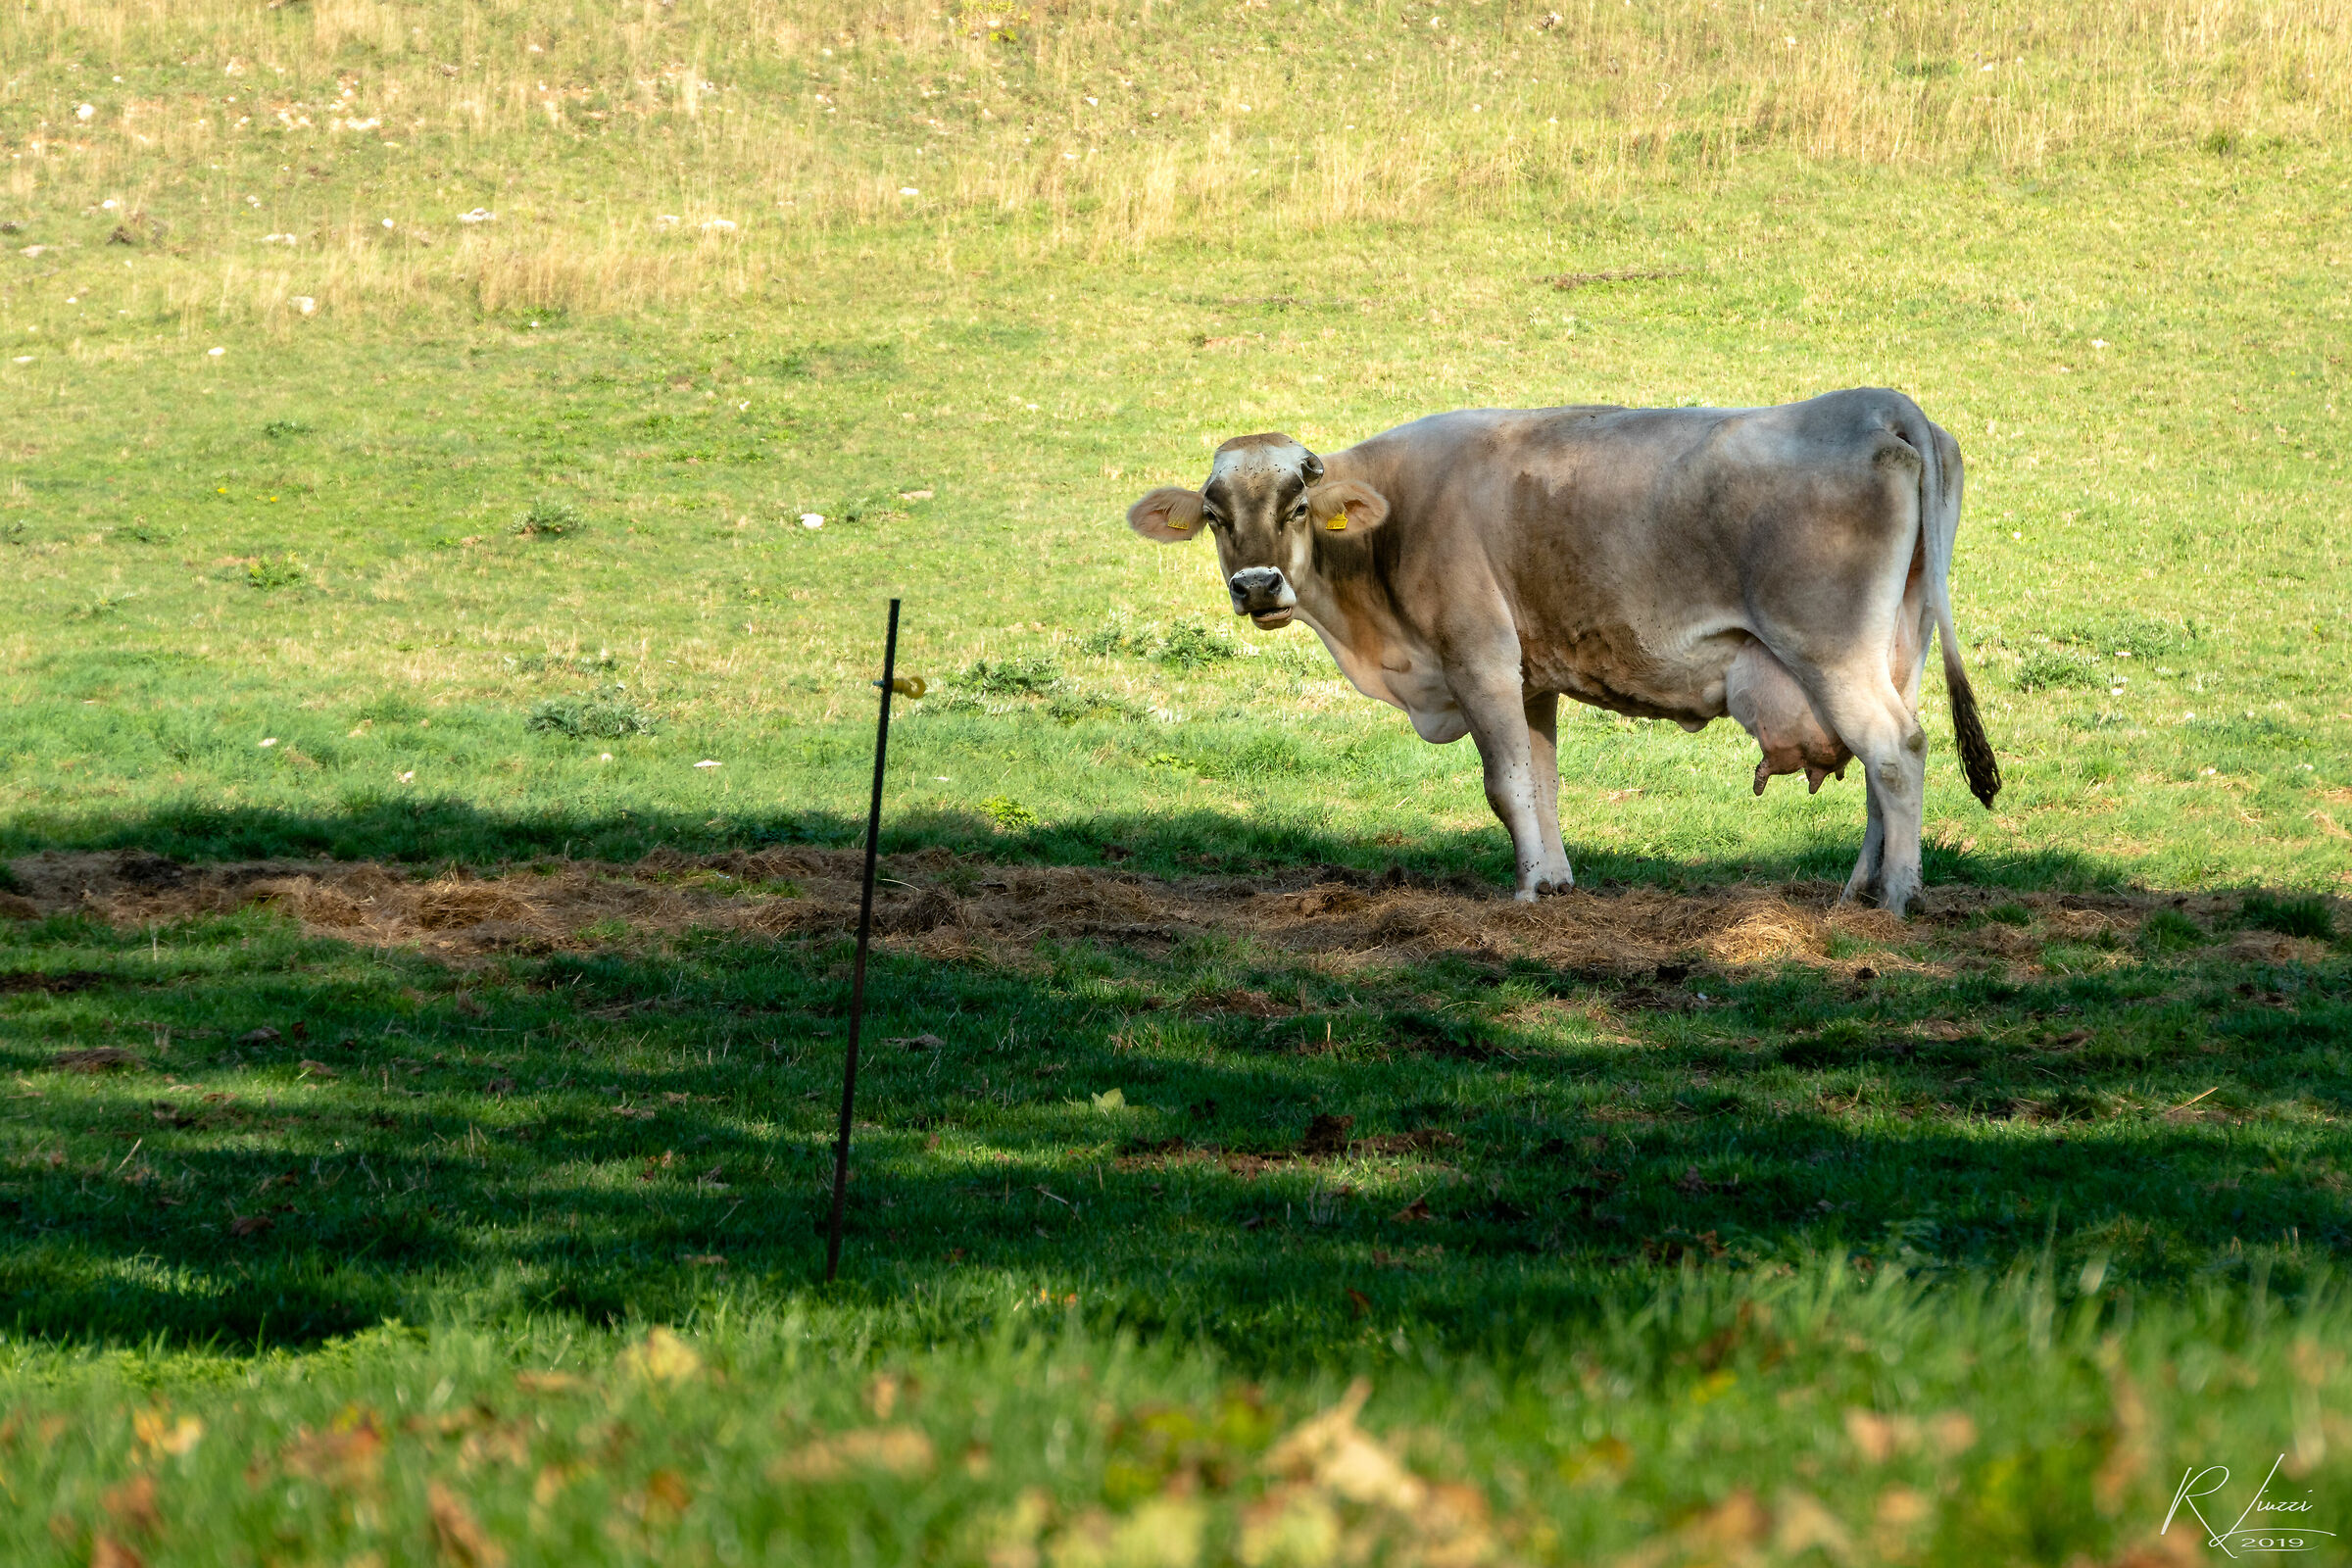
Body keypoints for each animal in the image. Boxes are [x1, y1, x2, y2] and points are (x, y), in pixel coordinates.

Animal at [1124, 388, 2000, 916]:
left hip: (1830, 649)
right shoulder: (1528, 675)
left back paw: (1898, 898)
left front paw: (1529, 890)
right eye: (1214, 516)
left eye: (1299, 508)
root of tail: (1874, 404)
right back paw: (1859, 890)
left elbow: (1506, 785)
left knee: (1895, 753)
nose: (1258, 585)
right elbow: (1541, 784)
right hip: (1896, 646)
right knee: (1887, 761)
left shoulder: (1477, 658)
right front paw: (1556, 882)